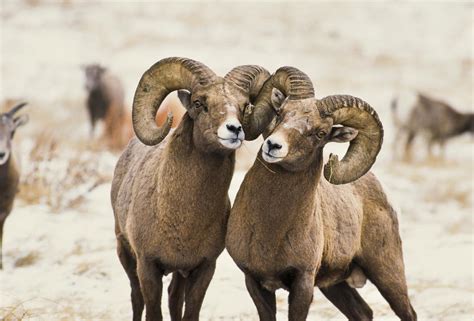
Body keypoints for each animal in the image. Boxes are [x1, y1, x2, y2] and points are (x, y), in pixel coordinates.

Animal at [228, 66, 416, 318]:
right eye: (281, 114)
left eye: (320, 133)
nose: (273, 145)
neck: (270, 230)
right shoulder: (255, 282)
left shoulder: (303, 283)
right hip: (335, 286)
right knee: (362, 313)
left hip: (387, 273)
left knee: (408, 312)